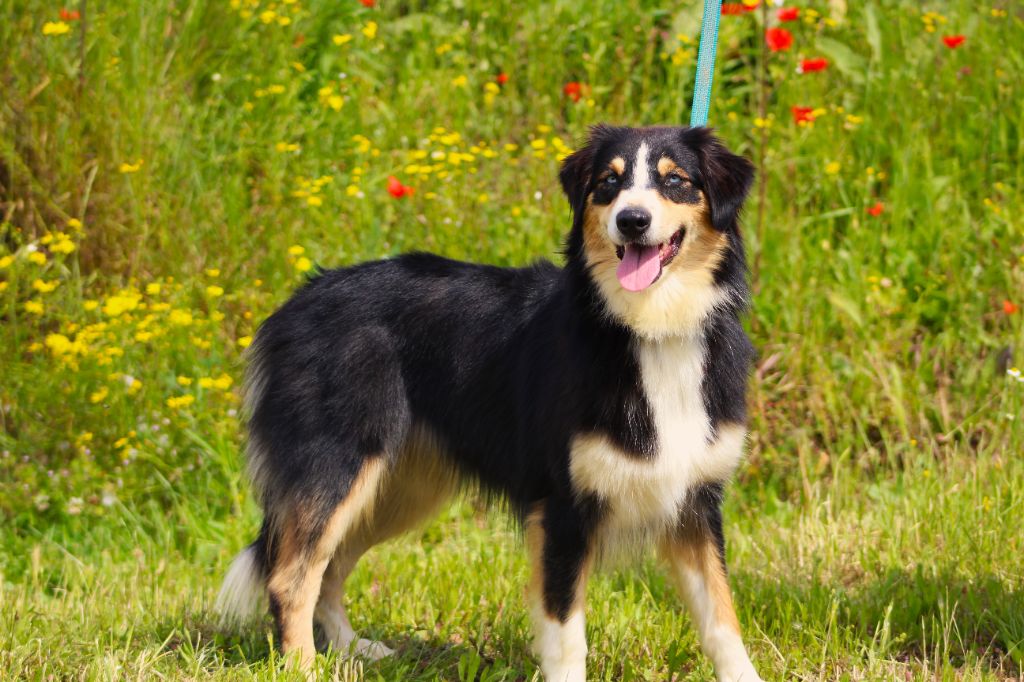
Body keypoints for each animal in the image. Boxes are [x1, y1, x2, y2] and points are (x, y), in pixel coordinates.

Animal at [216, 124, 761, 675]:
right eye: (609, 183)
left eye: (675, 181)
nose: (632, 220)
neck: (649, 329)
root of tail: (294, 304)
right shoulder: (562, 506)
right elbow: (566, 632)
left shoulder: (695, 501)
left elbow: (721, 616)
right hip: (338, 466)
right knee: (291, 576)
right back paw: (304, 667)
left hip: (397, 487)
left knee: (329, 567)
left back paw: (352, 649)